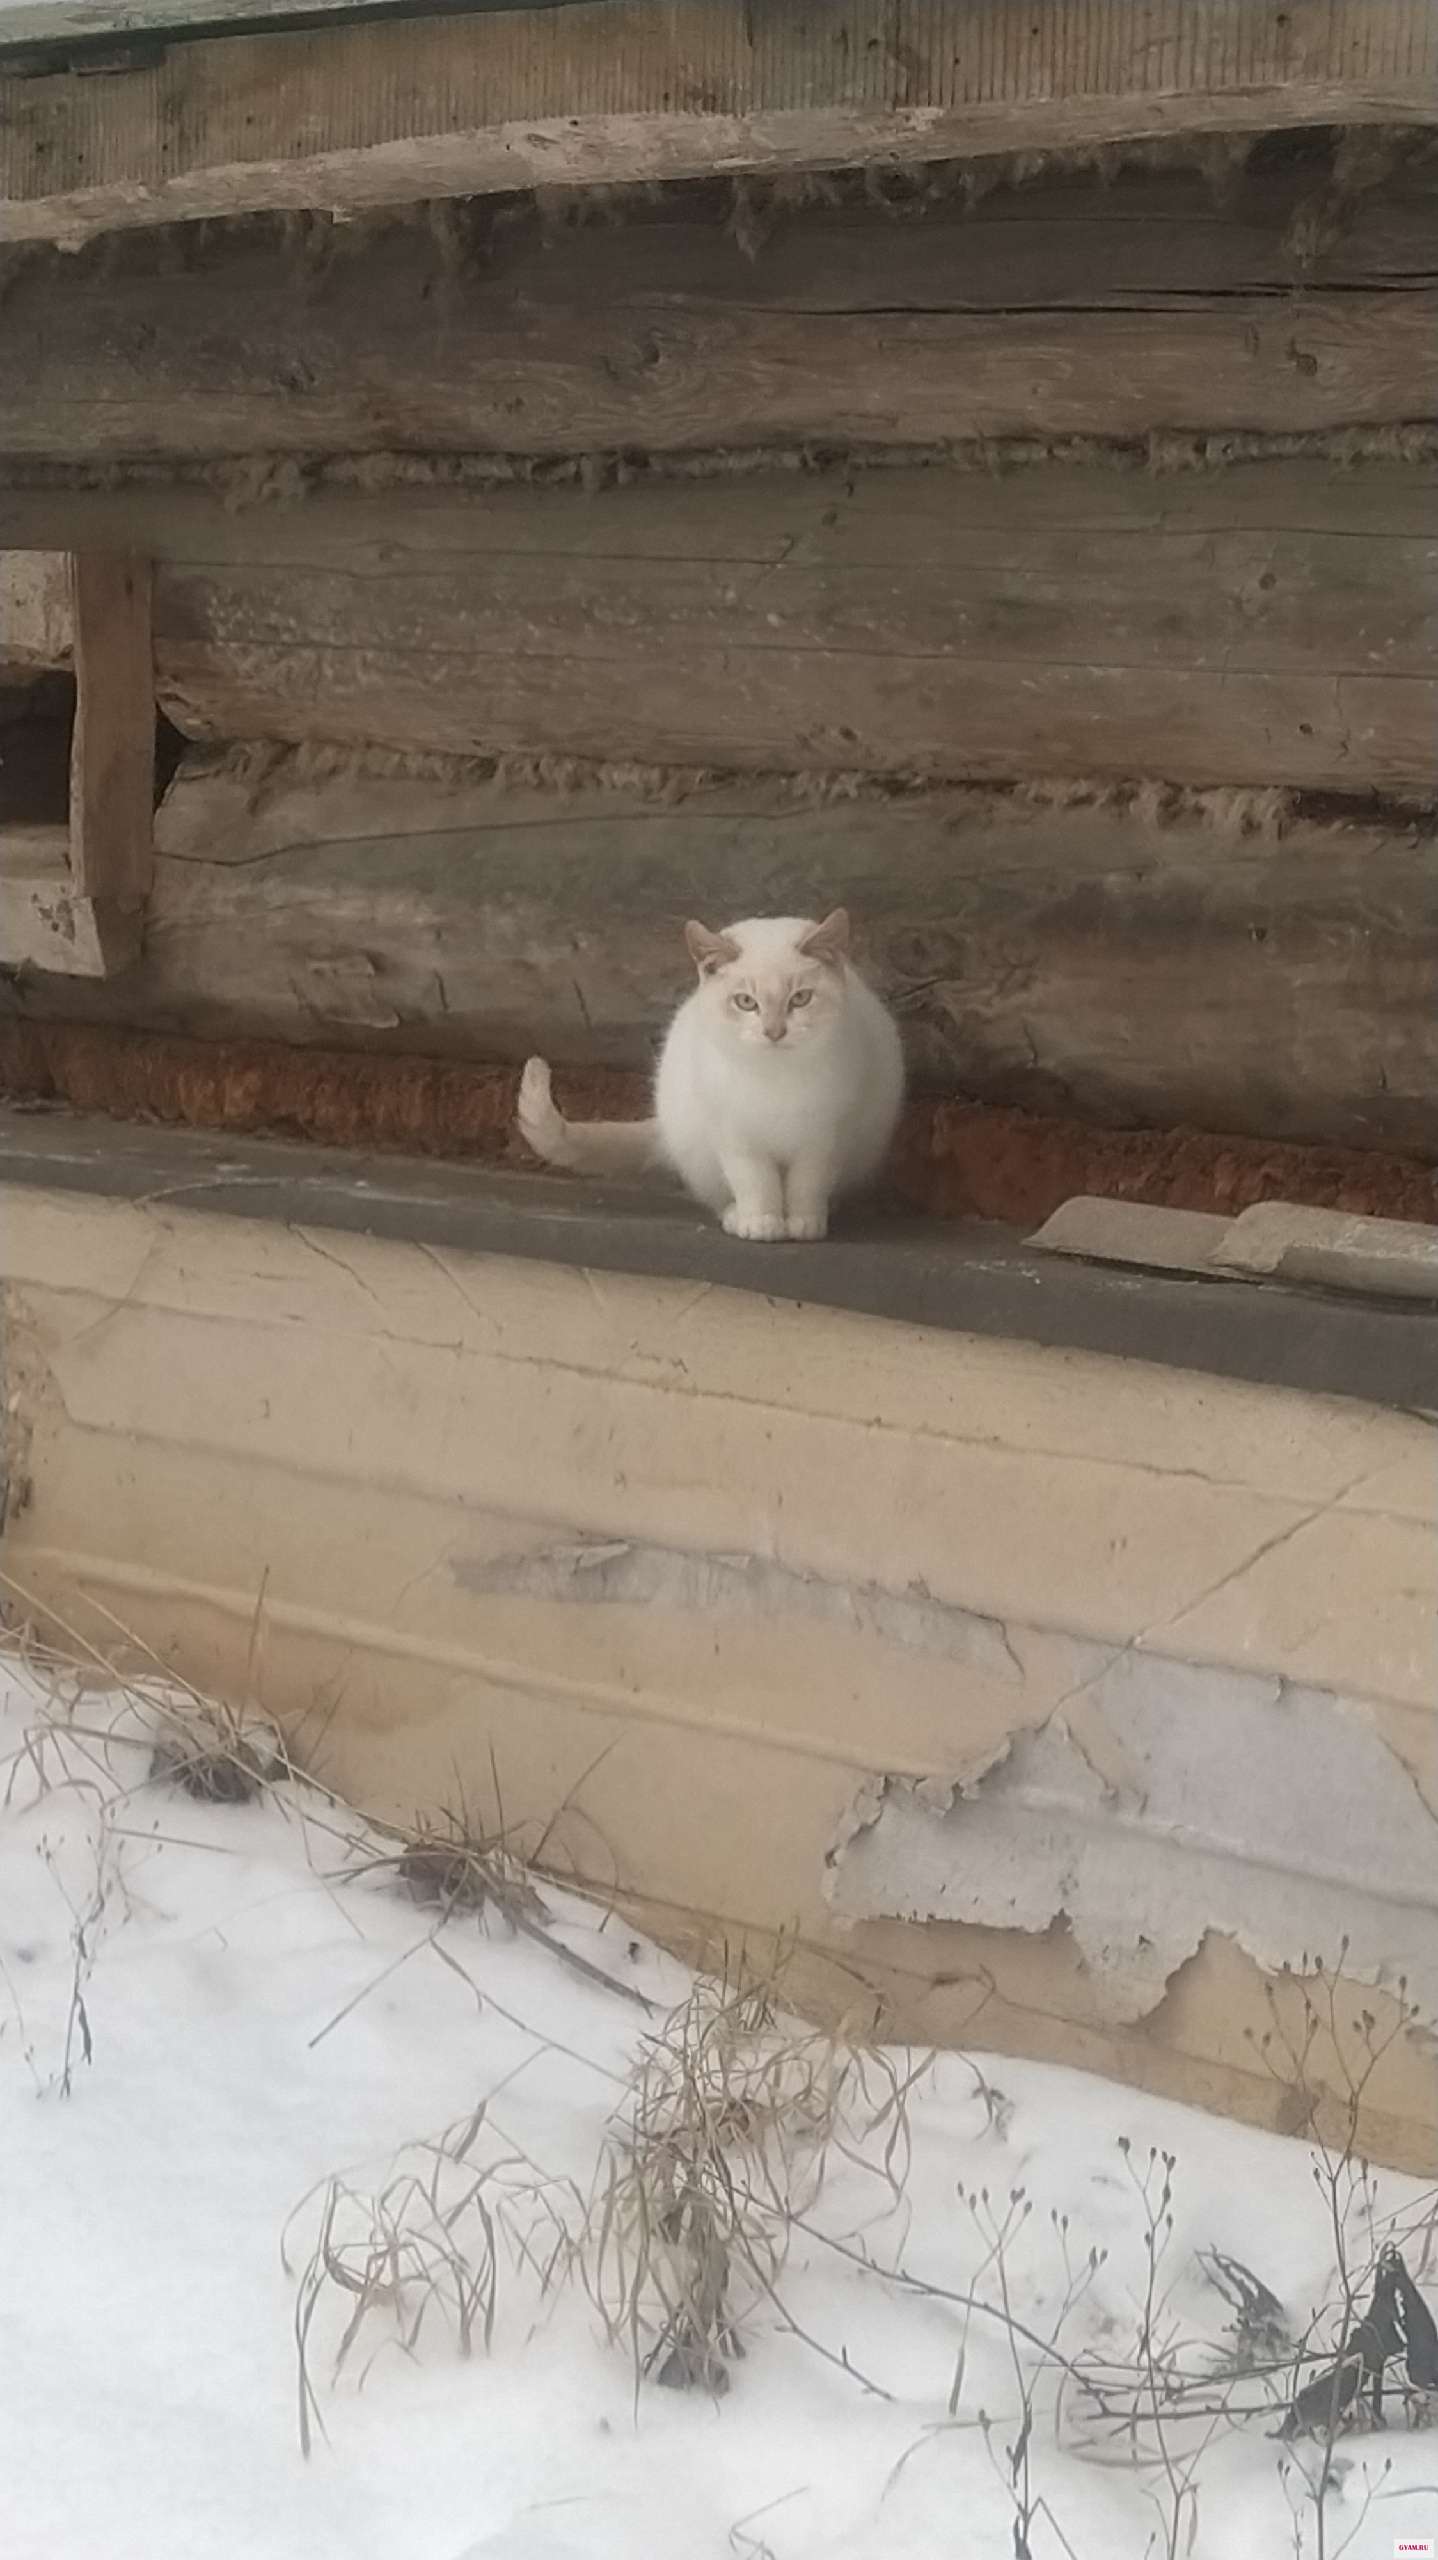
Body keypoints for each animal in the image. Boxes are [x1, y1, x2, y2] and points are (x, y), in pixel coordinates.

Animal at [516, 908, 904, 1240]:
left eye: (800, 999)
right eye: (746, 1002)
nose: (774, 1031)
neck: (774, 1077)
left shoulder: (823, 1137)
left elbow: (807, 1183)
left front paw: (804, 1220)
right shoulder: (735, 1136)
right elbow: (755, 1182)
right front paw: (761, 1221)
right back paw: (734, 1215)